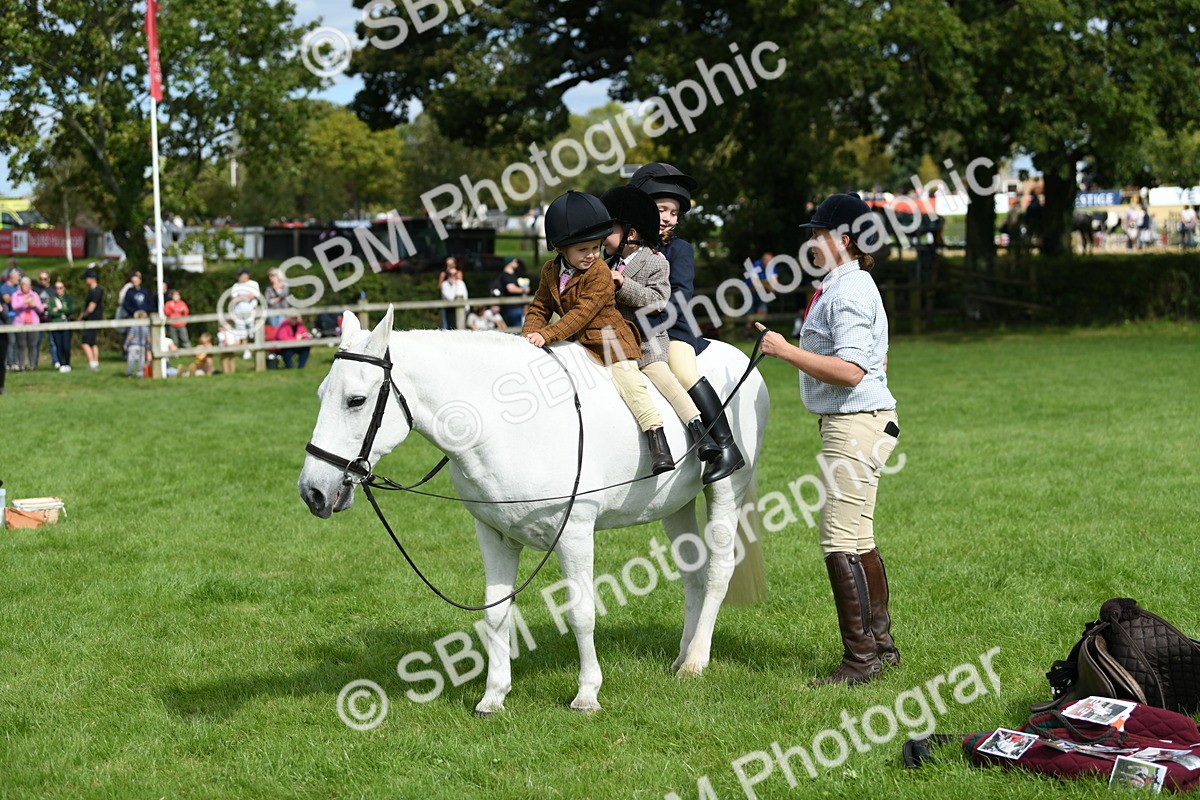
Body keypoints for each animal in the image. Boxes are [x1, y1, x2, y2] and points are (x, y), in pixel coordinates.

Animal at [298, 308, 769, 714]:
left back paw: (696, 661)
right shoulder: (492, 535)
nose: (312, 492)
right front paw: (493, 696)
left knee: (718, 570)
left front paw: (587, 694)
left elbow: (581, 612)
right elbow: (495, 613)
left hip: (725, 489)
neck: (507, 424)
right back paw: (682, 655)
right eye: (320, 395)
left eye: (356, 401)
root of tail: (737, 356)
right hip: (676, 505)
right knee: (693, 573)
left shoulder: (575, 534)